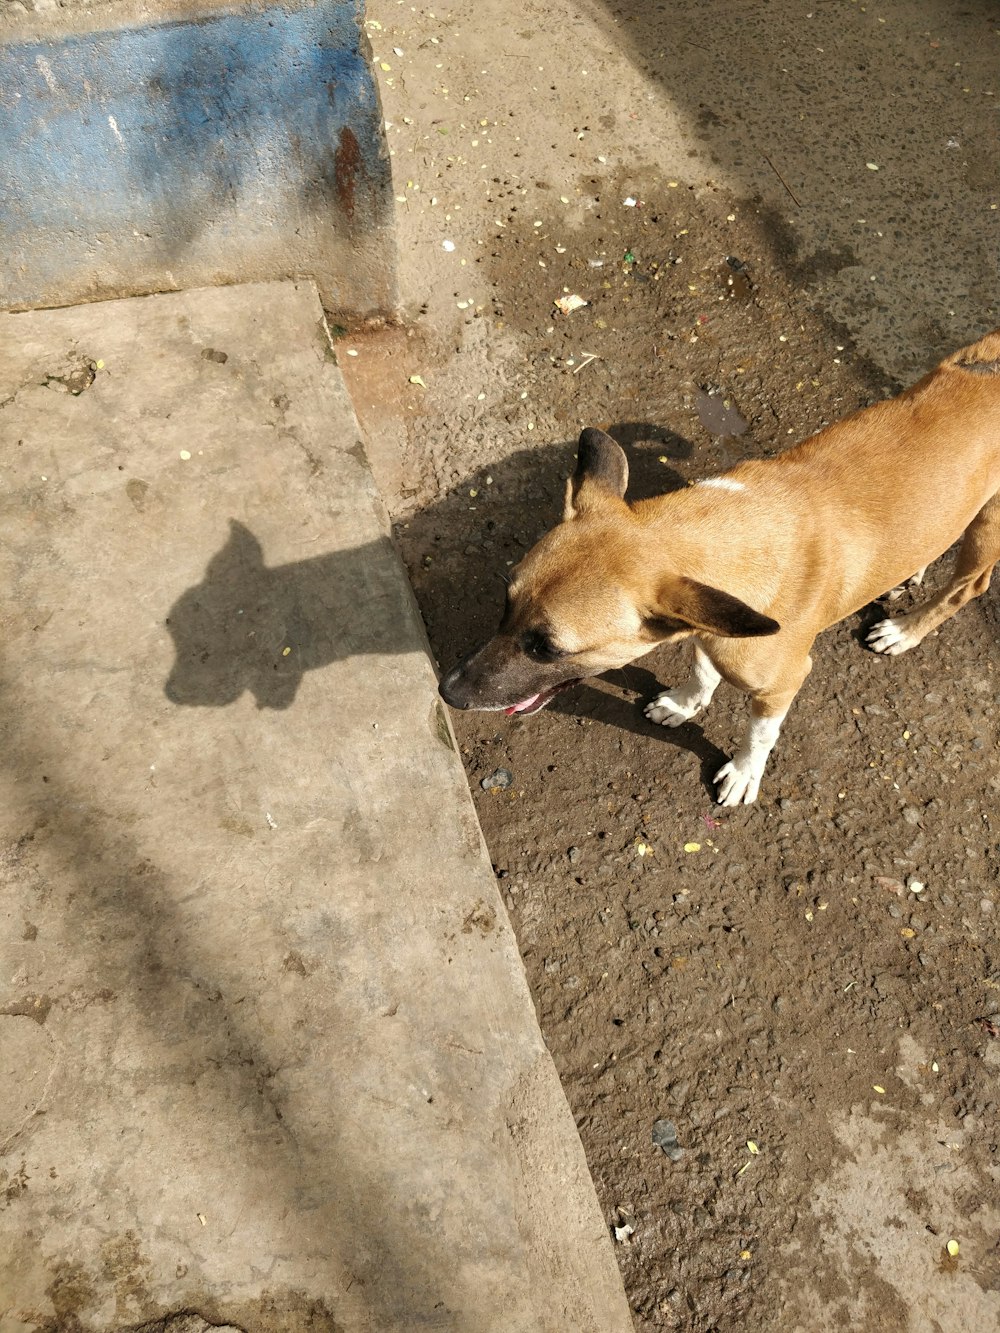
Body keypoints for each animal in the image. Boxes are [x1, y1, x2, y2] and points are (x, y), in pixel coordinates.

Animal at [442, 330, 1000, 810]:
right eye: (505, 602)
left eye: (548, 648)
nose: (447, 691)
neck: (733, 537)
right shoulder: (703, 621)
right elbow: (701, 665)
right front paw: (686, 702)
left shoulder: (780, 684)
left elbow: (760, 733)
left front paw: (744, 772)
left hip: (985, 531)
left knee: (968, 586)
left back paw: (906, 630)